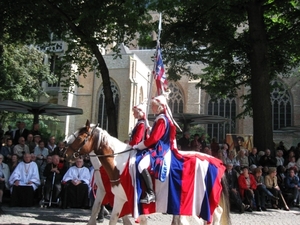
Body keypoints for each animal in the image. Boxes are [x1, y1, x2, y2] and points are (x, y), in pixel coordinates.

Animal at [65, 120, 230, 225]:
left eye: (80, 137)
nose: (66, 153)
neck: (119, 162)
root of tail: (216, 161)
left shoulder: (120, 197)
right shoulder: (116, 196)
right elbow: (105, 214)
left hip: (204, 199)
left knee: (215, 214)